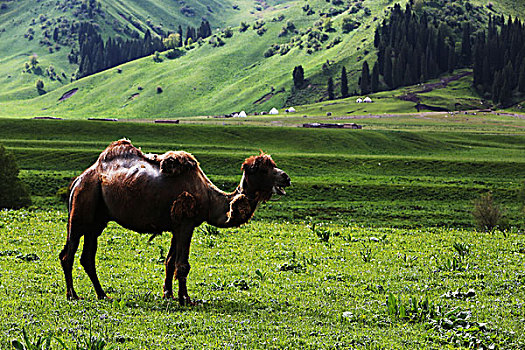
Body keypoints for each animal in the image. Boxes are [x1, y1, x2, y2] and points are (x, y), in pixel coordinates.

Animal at [60, 139, 294, 304]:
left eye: (274, 165)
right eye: (263, 169)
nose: (286, 178)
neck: (210, 198)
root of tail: (79, 178)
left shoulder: (176, 225)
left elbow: (169, 261)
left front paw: (169, 294)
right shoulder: (186, 223)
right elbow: (182, 265)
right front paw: (186, 299)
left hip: (97, 220)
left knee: (87, 257)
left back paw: (102, 294)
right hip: (82, 207)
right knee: (68, 253)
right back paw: (73, 295)